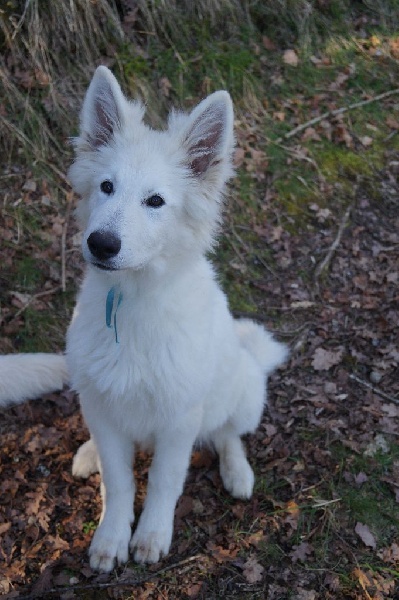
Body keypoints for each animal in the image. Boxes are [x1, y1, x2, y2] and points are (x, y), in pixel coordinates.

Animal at [0, 65, 288, 572]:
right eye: (106, 187)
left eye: (155, 201)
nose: (101, 244)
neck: (130, 302)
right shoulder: (103, 406)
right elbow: (118, 481)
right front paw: (111, 538)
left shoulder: (179, 419)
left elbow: (162, 482)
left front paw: (152, 535)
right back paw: (89, 453)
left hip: (242, 392)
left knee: (228, 433)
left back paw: (237, 471)